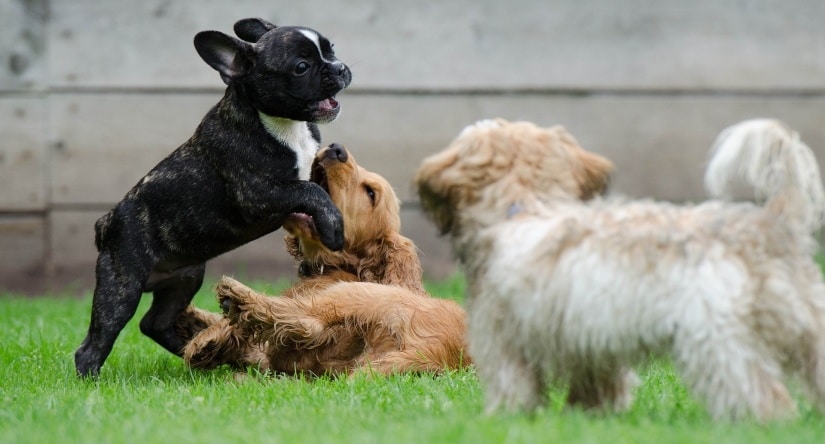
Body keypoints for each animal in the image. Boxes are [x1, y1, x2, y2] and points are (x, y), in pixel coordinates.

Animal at [416, 117, 824, 420]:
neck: (525, 206)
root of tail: (770, 224)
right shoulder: (591, 344)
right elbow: (598, 387)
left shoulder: (504, 341)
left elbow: (513, 387)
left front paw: (505, 419)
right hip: (809, 330)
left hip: (717, 341)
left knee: (762, 394)